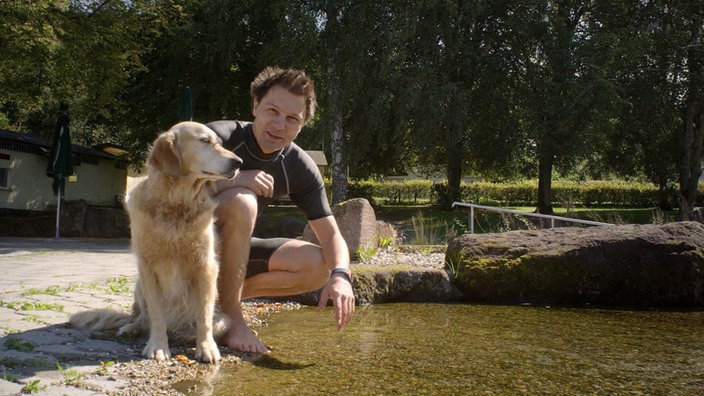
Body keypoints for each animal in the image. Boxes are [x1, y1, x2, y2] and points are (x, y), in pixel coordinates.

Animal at [71, 120, 242, 362]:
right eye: (205, 141)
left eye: (219, 143)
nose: (239, 162)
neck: (176, 202)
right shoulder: (147, 267)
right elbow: (156, 315)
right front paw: (158, 346)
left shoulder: (206, 266)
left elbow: (205, 317)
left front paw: (206, 347)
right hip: (139, 287)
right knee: (142, 319)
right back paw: (132, 327)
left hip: (222, 318)